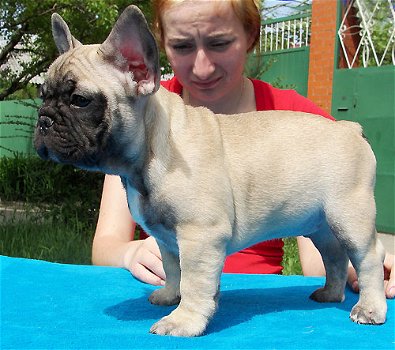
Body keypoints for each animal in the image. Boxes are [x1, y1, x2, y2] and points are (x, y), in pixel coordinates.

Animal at [34, 4, 386, 336]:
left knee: (370, 258)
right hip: (320, 225)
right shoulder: (167, 240)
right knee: (335, 257)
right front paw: (170, 296)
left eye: (79, 100)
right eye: (43, 95)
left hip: (349, 216)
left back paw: (369, 308)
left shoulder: (200, 236)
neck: (153, 147)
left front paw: (184, 321)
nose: (43, 119)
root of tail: (349, 128)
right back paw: (330, 294)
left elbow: (194, 281)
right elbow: (174, 271)